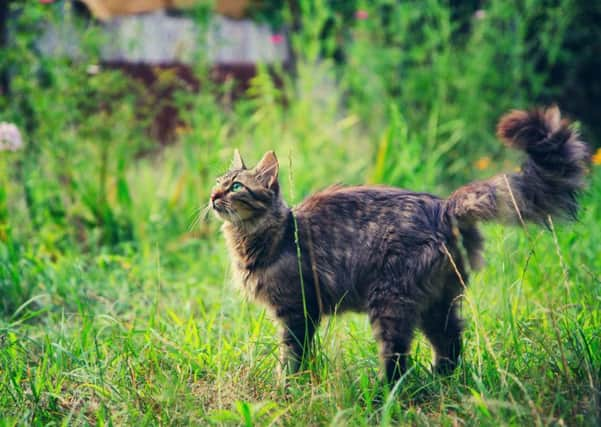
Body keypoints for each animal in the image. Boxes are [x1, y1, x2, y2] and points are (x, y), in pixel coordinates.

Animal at [209, 107, 588, 384]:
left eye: (236, 187)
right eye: (218, 182)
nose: (212, 196)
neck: (266, 236)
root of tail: (445, 207)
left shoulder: (297, 310)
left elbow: (291, 355)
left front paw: (285, 386)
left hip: (390, 300)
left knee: (398, 360)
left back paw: (384, 392)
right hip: (438, 302)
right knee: (451, 344)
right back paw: (438, 383)